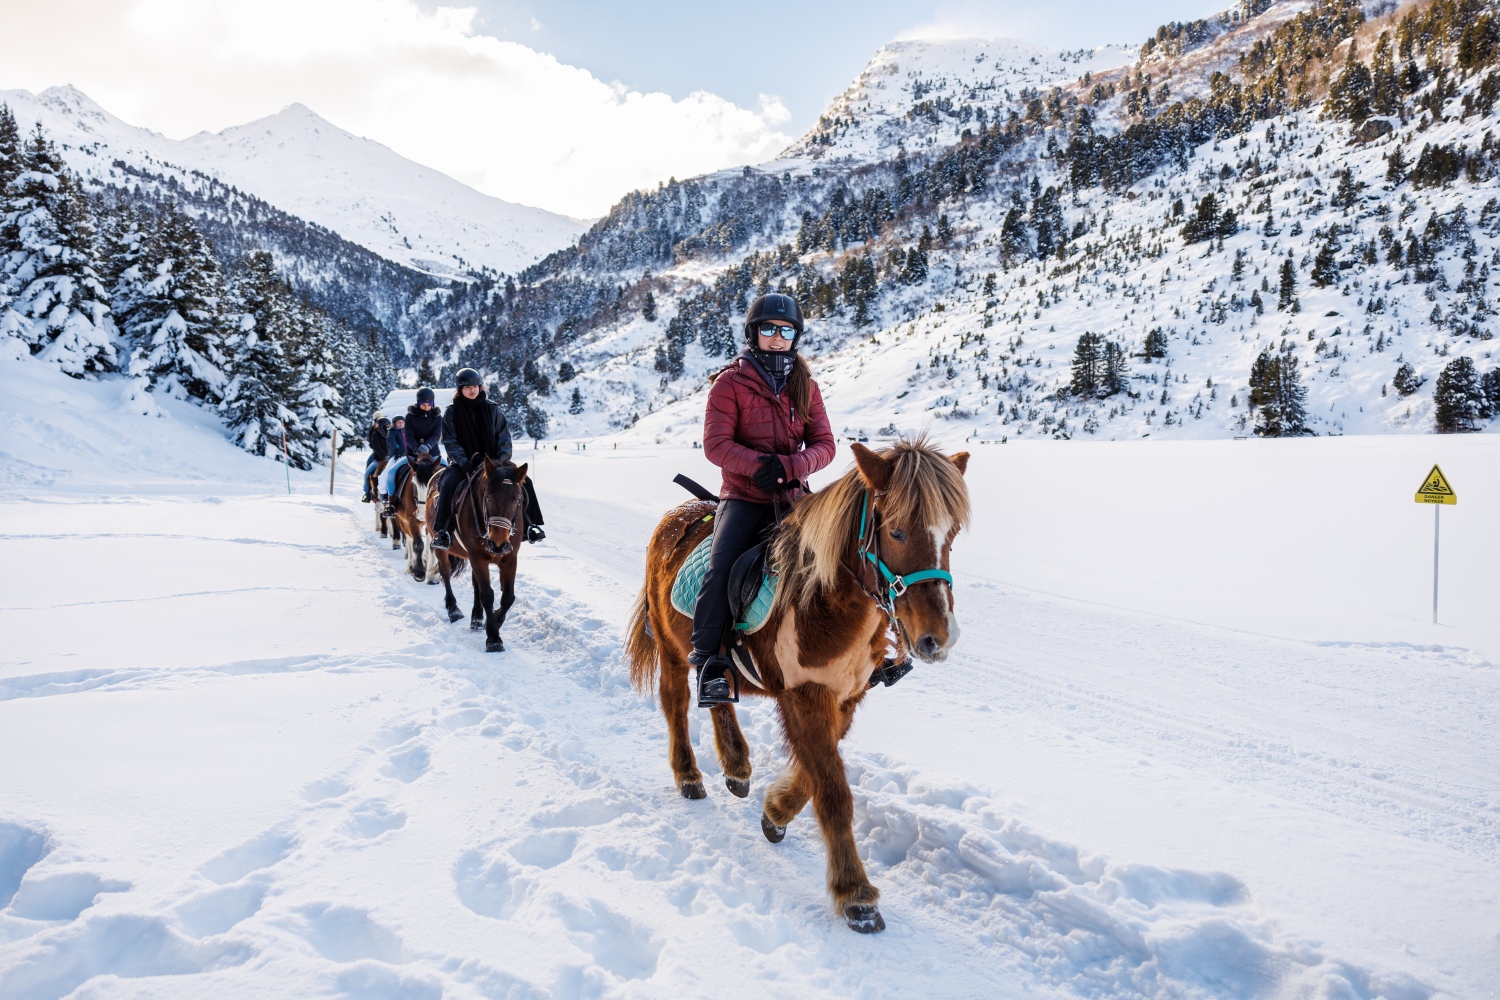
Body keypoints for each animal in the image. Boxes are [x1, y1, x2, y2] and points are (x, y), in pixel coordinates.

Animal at [426, 458, 531, 653]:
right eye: (488, 497)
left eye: (517, 499)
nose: (497, 543)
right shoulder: (478, 557)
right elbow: (488, 595)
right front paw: (494, 638)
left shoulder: (509, 559)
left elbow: (508, 597)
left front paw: (495, 619)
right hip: (440, 545)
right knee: (445, 572)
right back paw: (453, 610)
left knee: (476, 584)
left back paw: (477, 618)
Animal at [624, 440, 966, 935]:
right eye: (897, 532)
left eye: (952, 534)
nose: (937, 638)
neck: (828, 601)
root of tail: (678, 513)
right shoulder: (804, 697)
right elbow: (833, 789)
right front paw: (855, 894)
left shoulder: (846, 696)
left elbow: (817, 772)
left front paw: (775, 814)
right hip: (671, 648)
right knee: (677, 703)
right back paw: (689, 775)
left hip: (711, 659)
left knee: (717, 694)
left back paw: (736, 765)